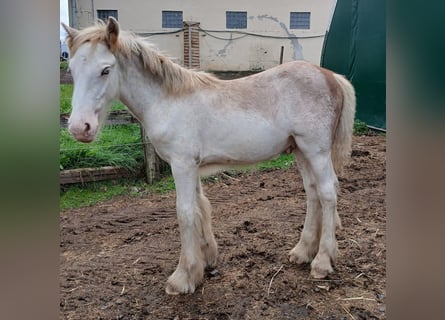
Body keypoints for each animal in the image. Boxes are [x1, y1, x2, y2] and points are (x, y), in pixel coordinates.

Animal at [62, 18, 356, 296]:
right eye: (72, 70)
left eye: (105, 70)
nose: (79, 128)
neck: (168, 100)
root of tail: (330, 76)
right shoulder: (191, 166)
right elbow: (199, 206)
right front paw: (205, 263)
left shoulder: (181, 165)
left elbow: (184, 212)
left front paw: (182, 277)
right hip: (301, 151)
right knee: (313, 193)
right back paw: (303, 251)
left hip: (316, 150)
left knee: (328, 194)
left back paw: (322, 261)